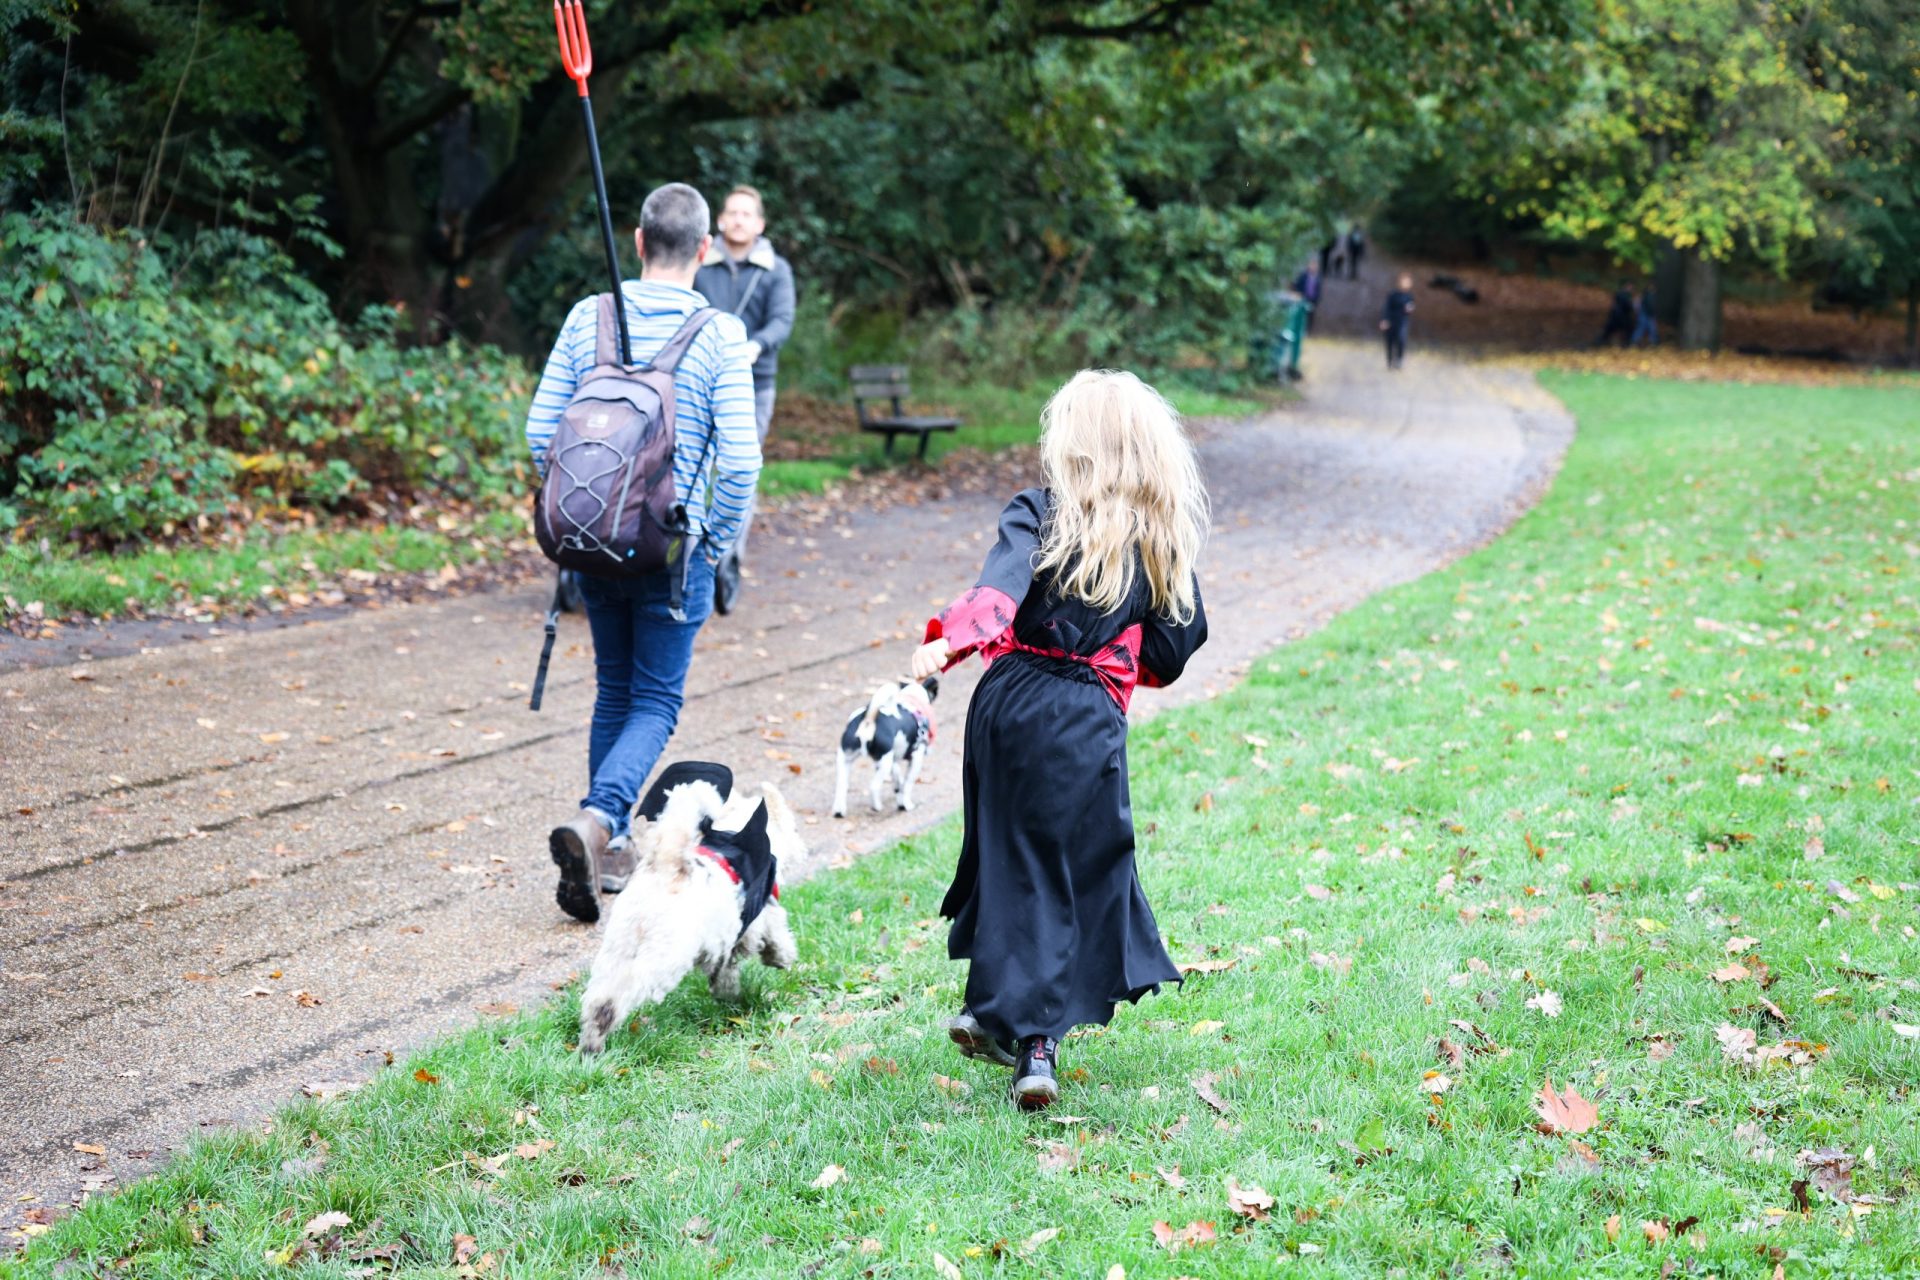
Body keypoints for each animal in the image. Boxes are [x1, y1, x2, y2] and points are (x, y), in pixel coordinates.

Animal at [577, 762, 801, 1054]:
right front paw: (782, 958)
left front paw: (726, 995)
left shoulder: (725, 945)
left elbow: (724, 972)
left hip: (619, 946)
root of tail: (667, 867)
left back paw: (591, 1042)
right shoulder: (760, 916)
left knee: (599, 996)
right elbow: (777, 935)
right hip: (665, 955)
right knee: (625, 990)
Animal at [832, 675, 938, 817]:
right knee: (874, 786)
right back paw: (876, 806)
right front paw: (906, 804)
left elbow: (898, 780)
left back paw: (839, 811)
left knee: (841, 787)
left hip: (846, 759)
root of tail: (868, 718)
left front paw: (899, 796)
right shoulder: (916, 759)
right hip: (884, 762)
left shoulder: (891, 760)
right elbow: (908, 784)